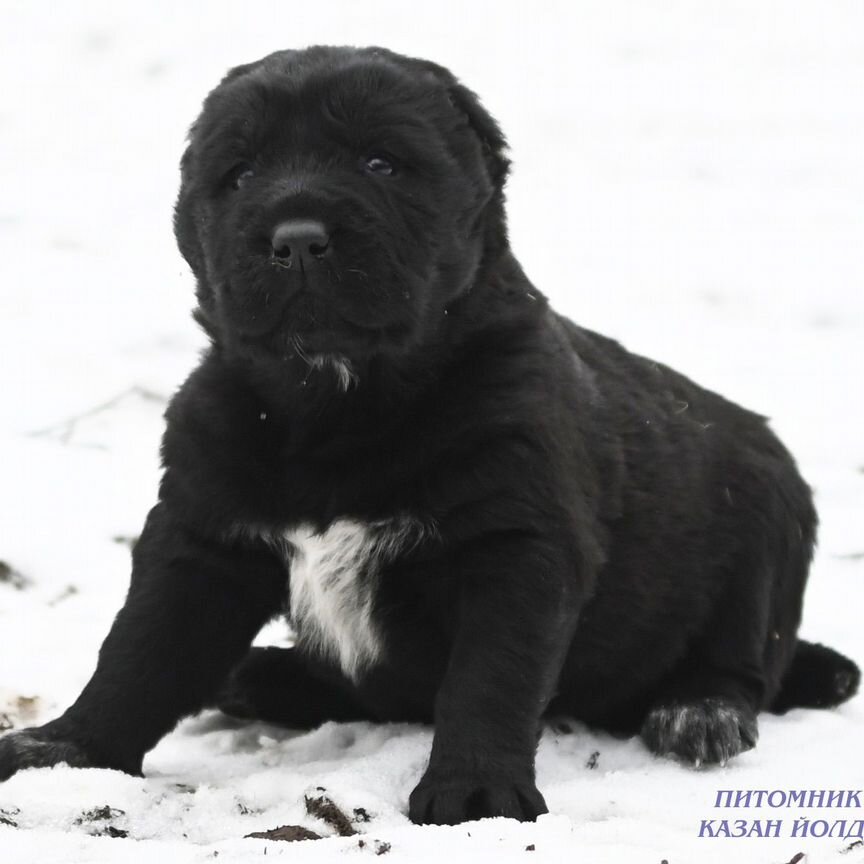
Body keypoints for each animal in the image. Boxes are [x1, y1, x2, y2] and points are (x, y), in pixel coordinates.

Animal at [3, 45, 860, 824]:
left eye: (381, 163)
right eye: (240, 174)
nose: (297, 236)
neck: (337, 404)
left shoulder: (516, 546)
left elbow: (489, 678)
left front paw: (475, 794)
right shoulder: (202, 533)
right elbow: (141, 651)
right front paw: (64, 751)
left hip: (766, 522)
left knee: (742, 660)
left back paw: (698, 714)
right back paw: (259, 677)